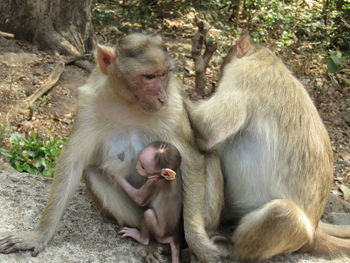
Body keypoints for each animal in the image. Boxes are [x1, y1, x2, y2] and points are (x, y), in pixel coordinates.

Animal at [0, 33, 224, 262]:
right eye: (149, 77)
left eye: (163, 75)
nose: (161, 96)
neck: (128, 102)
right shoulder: (89, 104)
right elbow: (73, 164)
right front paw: (38, 235)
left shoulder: (173, 106)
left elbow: (192, 162)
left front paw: (199, 244)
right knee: (93, 173)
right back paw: (151, 241)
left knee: (211, 159)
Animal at [187, 35, 350, 262]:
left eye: (224, 63)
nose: (216, 79)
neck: (266, 58)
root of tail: (314, 233)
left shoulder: (244, 76)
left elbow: (209, 128)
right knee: (211, 156)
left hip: (293, 234)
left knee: (283, 213)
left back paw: (230, 248)